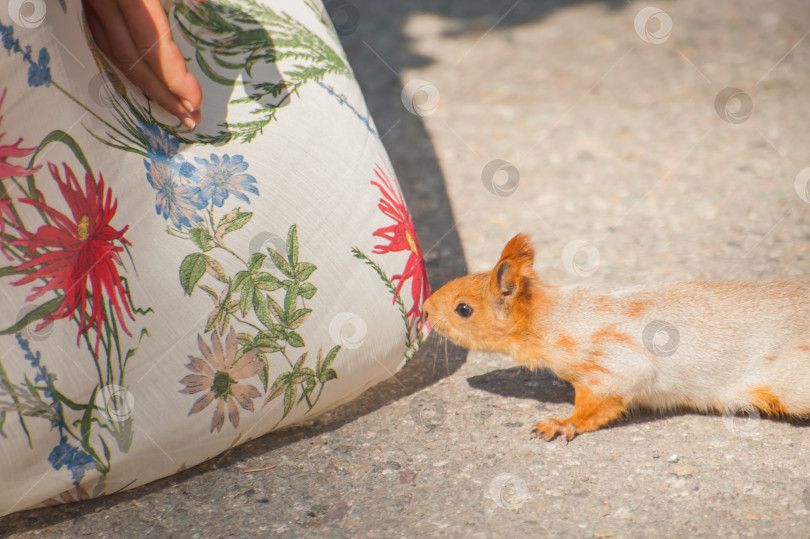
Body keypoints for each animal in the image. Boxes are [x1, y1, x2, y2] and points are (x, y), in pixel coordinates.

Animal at [420, 234, 808, 440]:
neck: (554, 318)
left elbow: (605, 400)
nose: (423, 308)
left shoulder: (612, 361)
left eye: (463, 309)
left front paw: (562, 424)